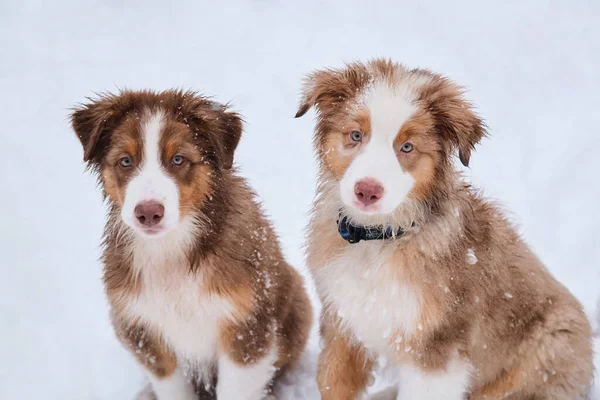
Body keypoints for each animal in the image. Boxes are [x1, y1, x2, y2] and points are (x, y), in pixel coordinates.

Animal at [72, 90, 312, 400]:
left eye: (178, 159)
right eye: (125, 161)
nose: (148, 213)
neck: (172, 248)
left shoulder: (245, 326)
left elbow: (236, 390)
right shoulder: (145, 331)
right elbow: (173, 388)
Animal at [296, 58, 592, 400]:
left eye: (407, 147)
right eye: (356, 135)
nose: (367, 191)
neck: (381, 238)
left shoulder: (436, 351)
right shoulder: (343, 324)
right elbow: (334, 382)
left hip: (543, 356)